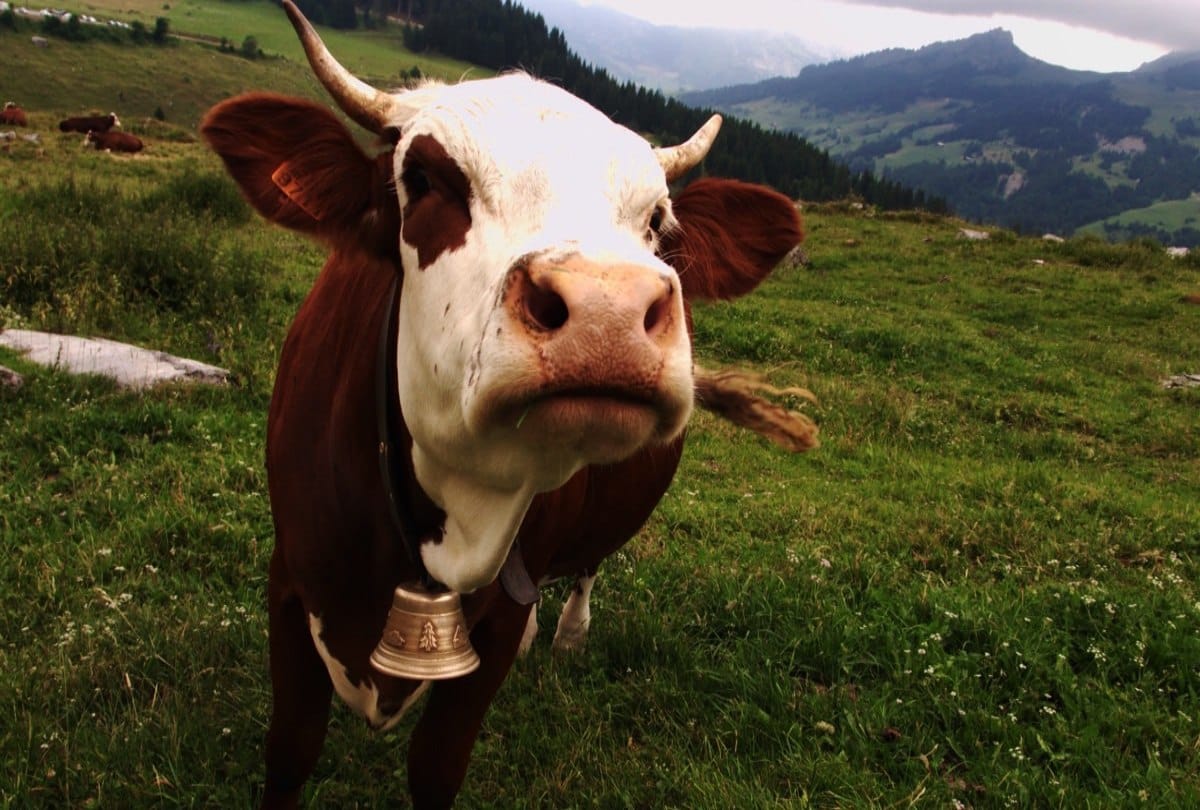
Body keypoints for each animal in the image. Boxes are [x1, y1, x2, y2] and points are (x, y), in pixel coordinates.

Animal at [200, 2, 815, 808]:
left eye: (657, 221)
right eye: (423, 178)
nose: (607, 312)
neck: (443, 526)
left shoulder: (490, 628)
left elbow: (438, 765)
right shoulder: (291, 584)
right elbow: (291, 749)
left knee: (585, 565)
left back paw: (568, 633)